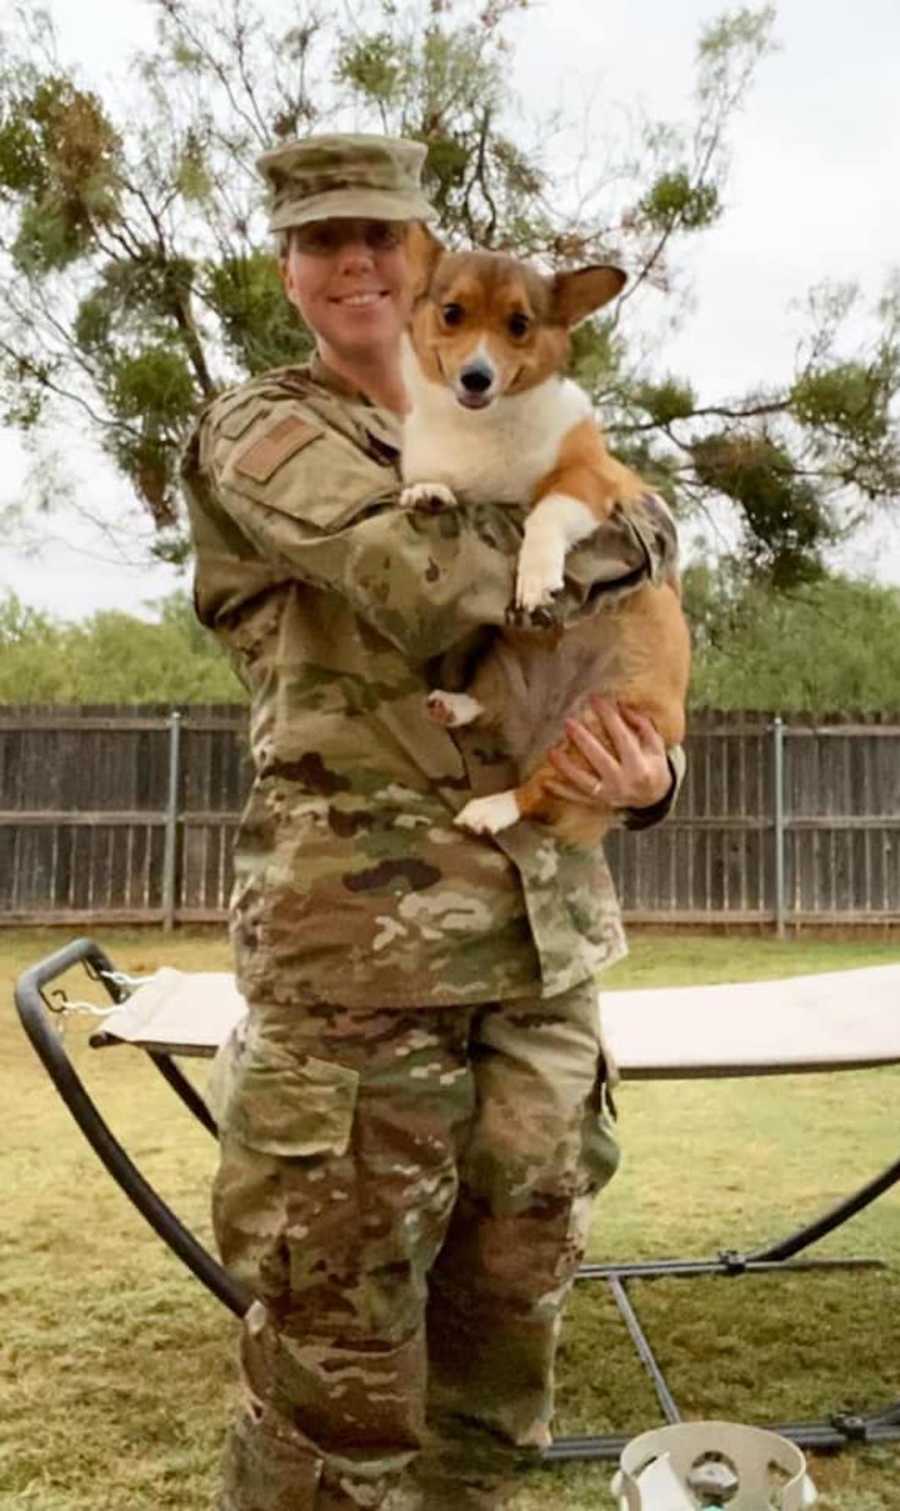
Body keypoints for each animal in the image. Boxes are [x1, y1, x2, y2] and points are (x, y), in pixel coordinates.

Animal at [398, 232, 688, 852]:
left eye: (519, 325)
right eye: (451, 312)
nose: (476, 377)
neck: (481, 430)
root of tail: (540, 728)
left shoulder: (590, 482)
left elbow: (546, 516)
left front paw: (535, 579)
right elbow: (435, 479)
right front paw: (429, 491)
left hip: (602, 725)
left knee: (539, 789)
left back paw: (491, 808)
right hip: (502, 664)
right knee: (492, 707)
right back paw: (455, 705)